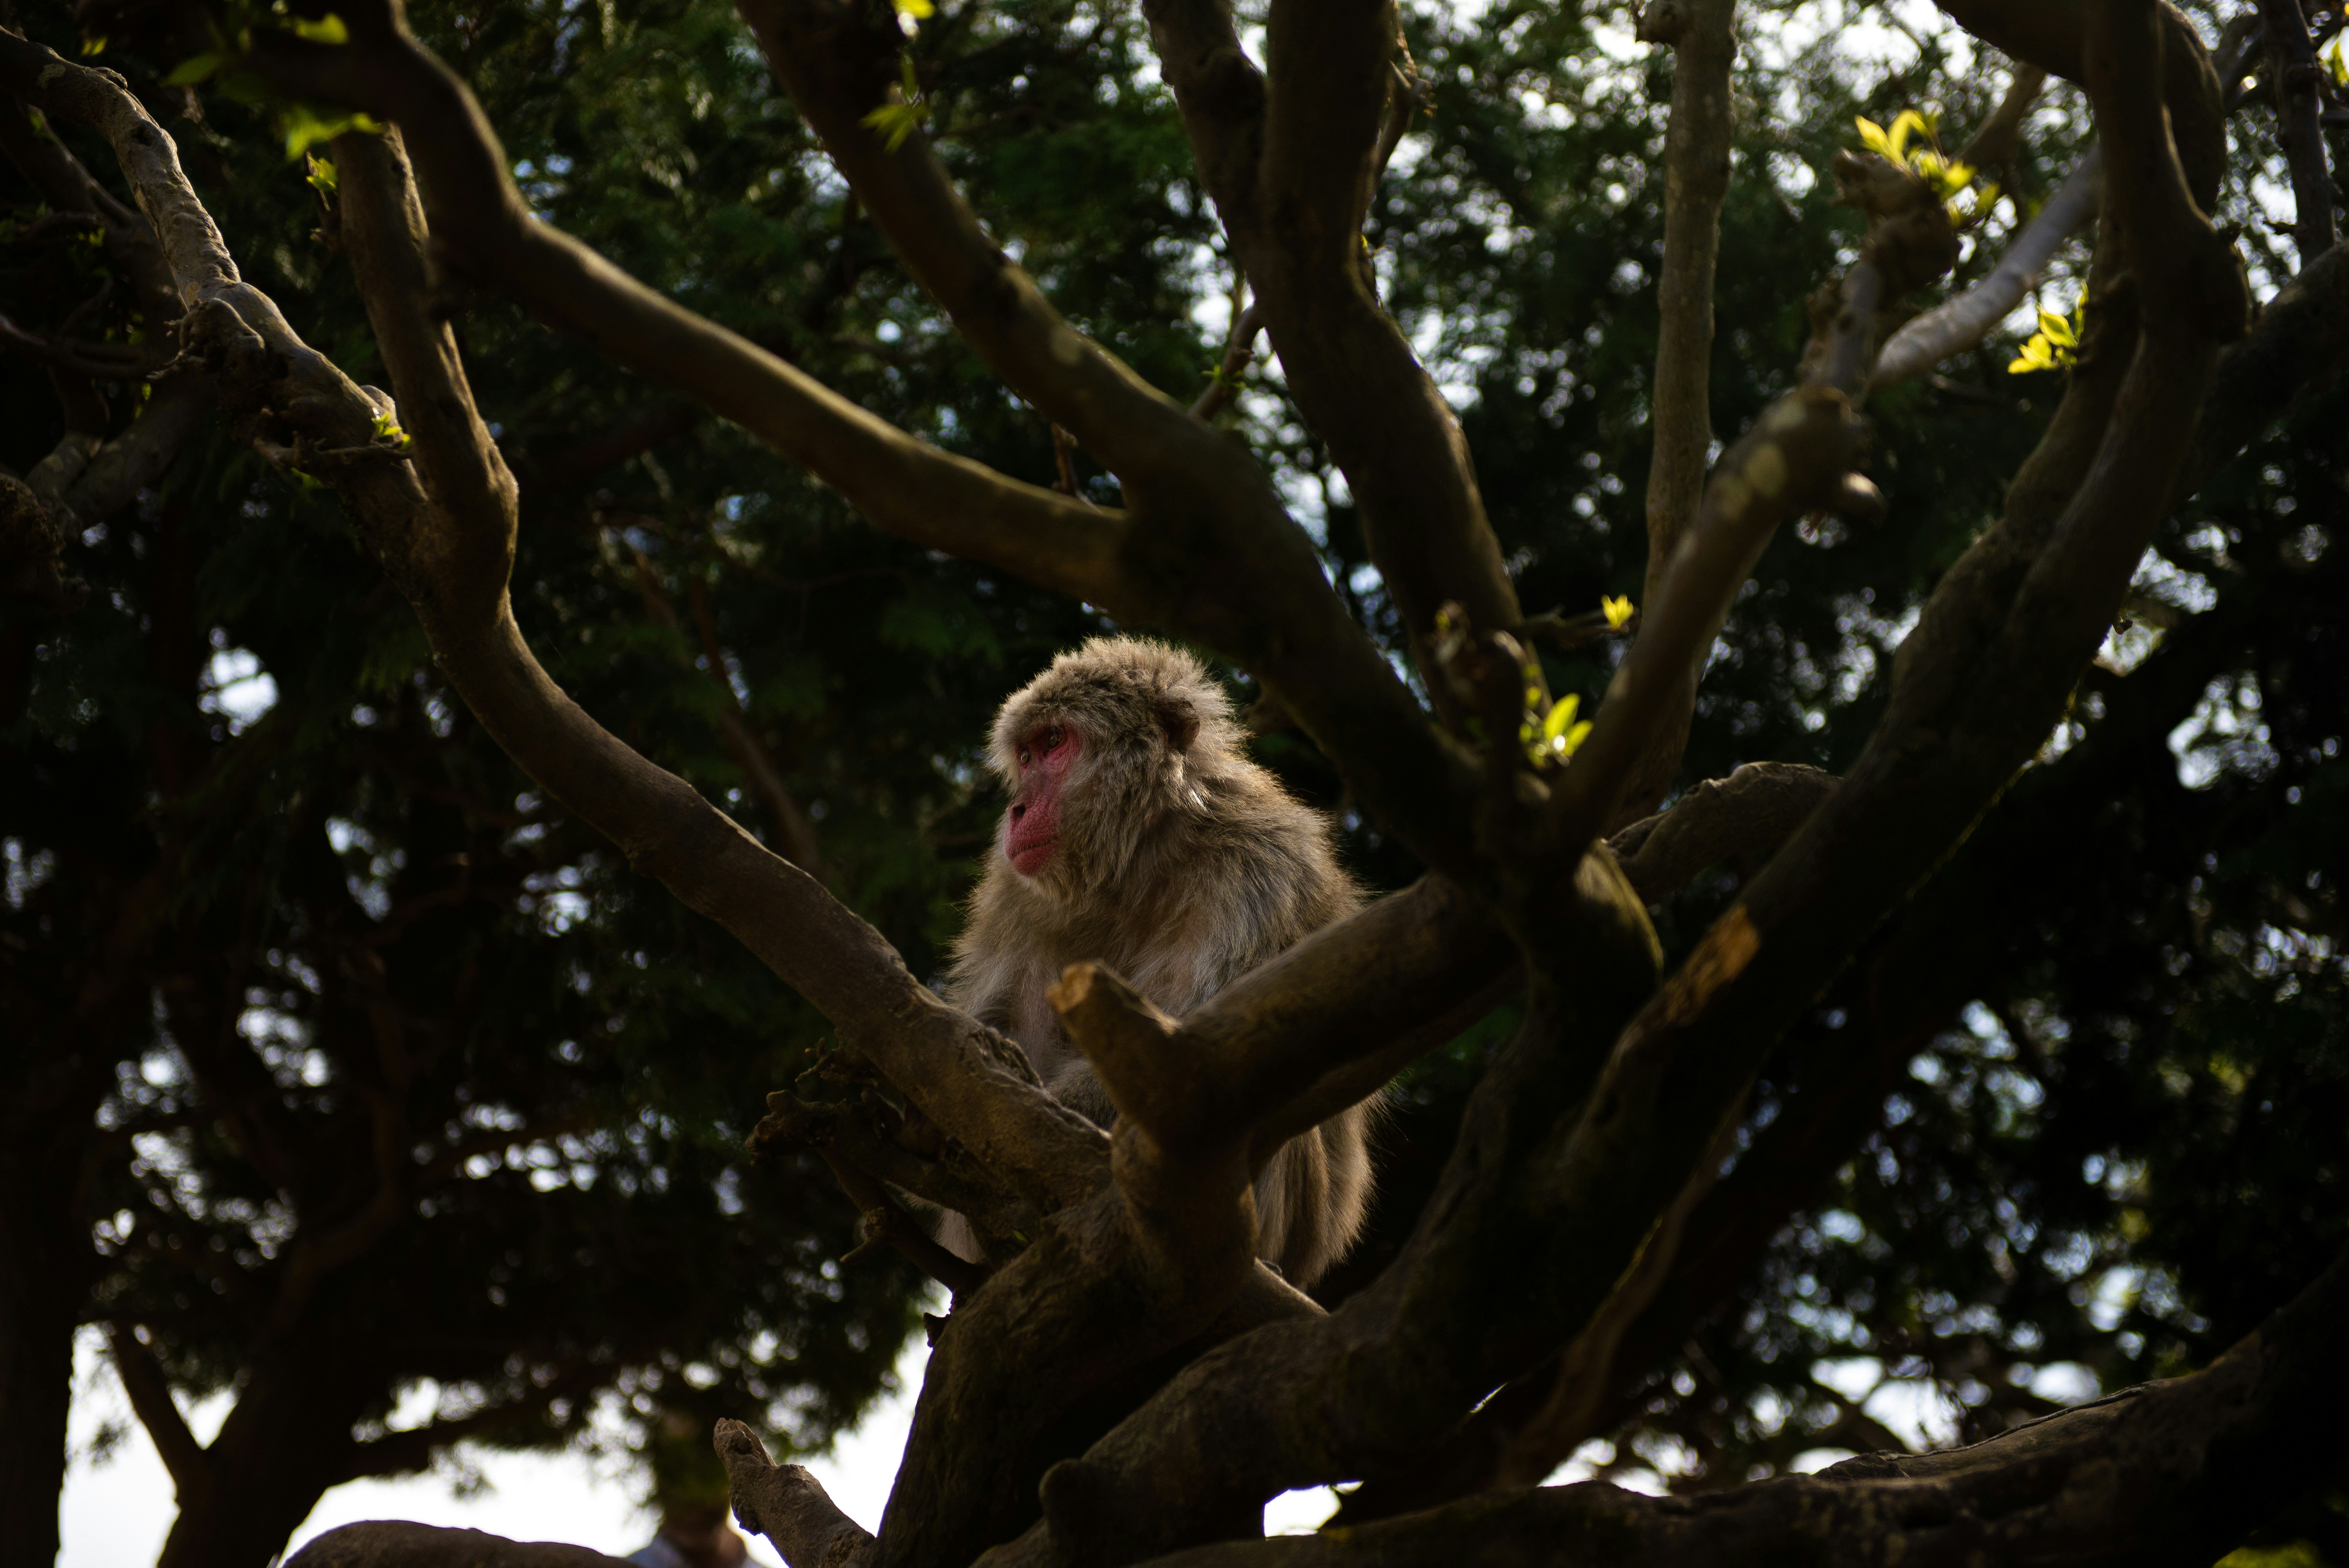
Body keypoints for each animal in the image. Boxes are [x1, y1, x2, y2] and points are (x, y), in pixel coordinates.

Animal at [941, 636, 1375, 1287]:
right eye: (1026, 753)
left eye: (1055, 742)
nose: (1016, 809)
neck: (1139, 857)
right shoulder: (1014, 891)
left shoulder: (1260, 868)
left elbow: (1195, 1069)